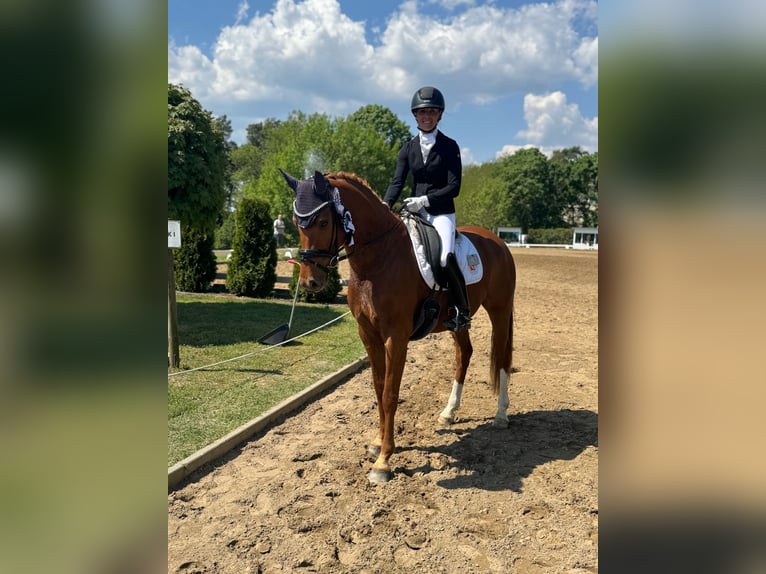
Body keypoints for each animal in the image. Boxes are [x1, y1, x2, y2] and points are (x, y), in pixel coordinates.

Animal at [280, 169, 516, 484]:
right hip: (458, 321)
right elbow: (379, 390)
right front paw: (377, 443)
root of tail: (498, 242)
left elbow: (391, 394)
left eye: (323, 222)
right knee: (463, 354)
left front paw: (383, 462)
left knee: (501, 358)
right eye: (297, 223)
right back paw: (448, 412)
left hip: (500, 311)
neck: (378, 260)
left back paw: (501, 416)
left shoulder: (396, 337)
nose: (310, 282)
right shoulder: (368, 335)